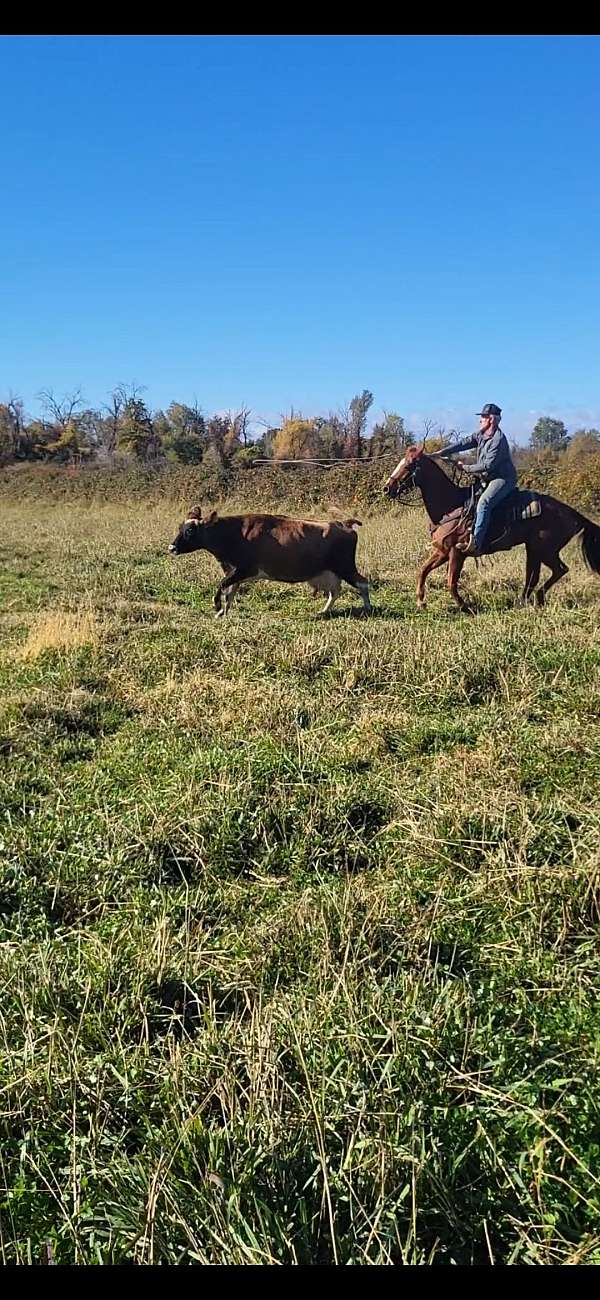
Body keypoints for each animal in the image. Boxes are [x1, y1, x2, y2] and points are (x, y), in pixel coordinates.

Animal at [164, 504, 371, 616]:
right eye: (180, 528)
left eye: (190, 531)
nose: (172, 548)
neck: (233, 533)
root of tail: (342, 523)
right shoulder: (234, 571)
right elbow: (229, 591)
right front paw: (223, 612)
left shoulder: (244, 569)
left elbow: (222, 585)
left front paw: (217, 606)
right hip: (328, 572)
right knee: (335, 591)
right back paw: (324, 610)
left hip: (345, 567)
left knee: (362, 582)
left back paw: (368, 608)